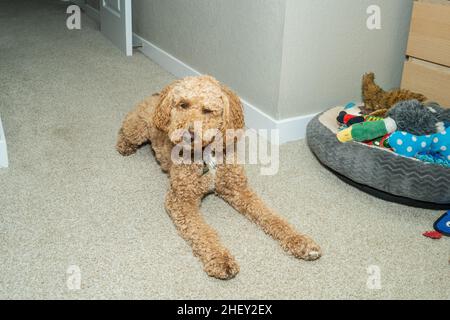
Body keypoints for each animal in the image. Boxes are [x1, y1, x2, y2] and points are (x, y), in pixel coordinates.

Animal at [116, 75, 320, 280]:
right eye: (183, 105)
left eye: (207, 110)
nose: (188, 134)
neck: (207, 154)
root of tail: (156, 96)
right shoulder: (181, 200)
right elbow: (202, 232)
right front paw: (220, 259)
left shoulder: (237, 188)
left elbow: (270, 215)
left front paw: (300, 241)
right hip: (137, 129)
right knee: (123, 132)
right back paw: (125, 146)